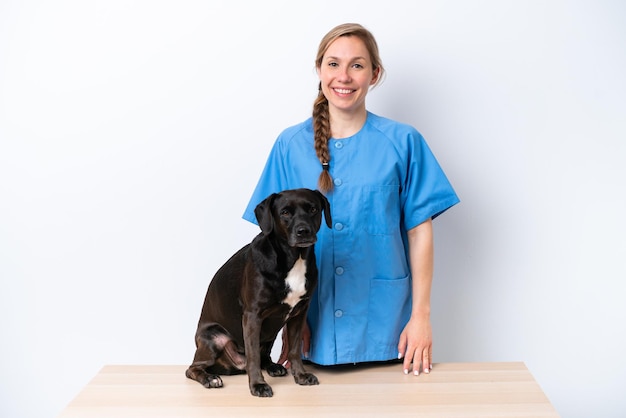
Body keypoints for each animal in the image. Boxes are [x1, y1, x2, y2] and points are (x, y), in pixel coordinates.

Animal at [185, 188, 332, 396]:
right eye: (285, 213)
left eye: (313, 209)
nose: (303, 231)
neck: (293, 259)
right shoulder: (252, 316)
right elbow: (253, 355)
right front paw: (257, 385)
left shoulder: (299, 314)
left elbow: (295, 349)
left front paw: (301, 375)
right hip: (214, 338)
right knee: (193, 368)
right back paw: (209, 378)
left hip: (271, 334)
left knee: (264, 356)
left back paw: (273, 367)